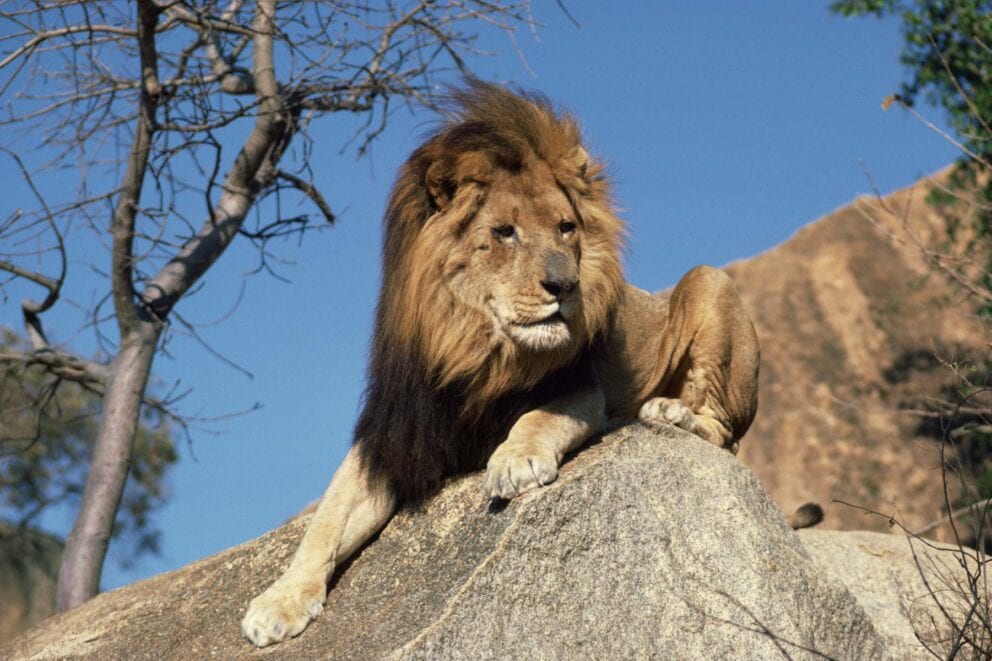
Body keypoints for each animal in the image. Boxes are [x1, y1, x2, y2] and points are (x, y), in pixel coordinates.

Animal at [241, 81, 820, 648]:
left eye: (566, 228)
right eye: (504, 232)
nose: (564, 285)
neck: (474, 344)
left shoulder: (582, 390)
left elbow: (535, 418)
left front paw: (513, 463)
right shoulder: (394, 439)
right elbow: (326, 519)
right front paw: (277, 603)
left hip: (708, 281)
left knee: (726, 433)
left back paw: (671, 412)